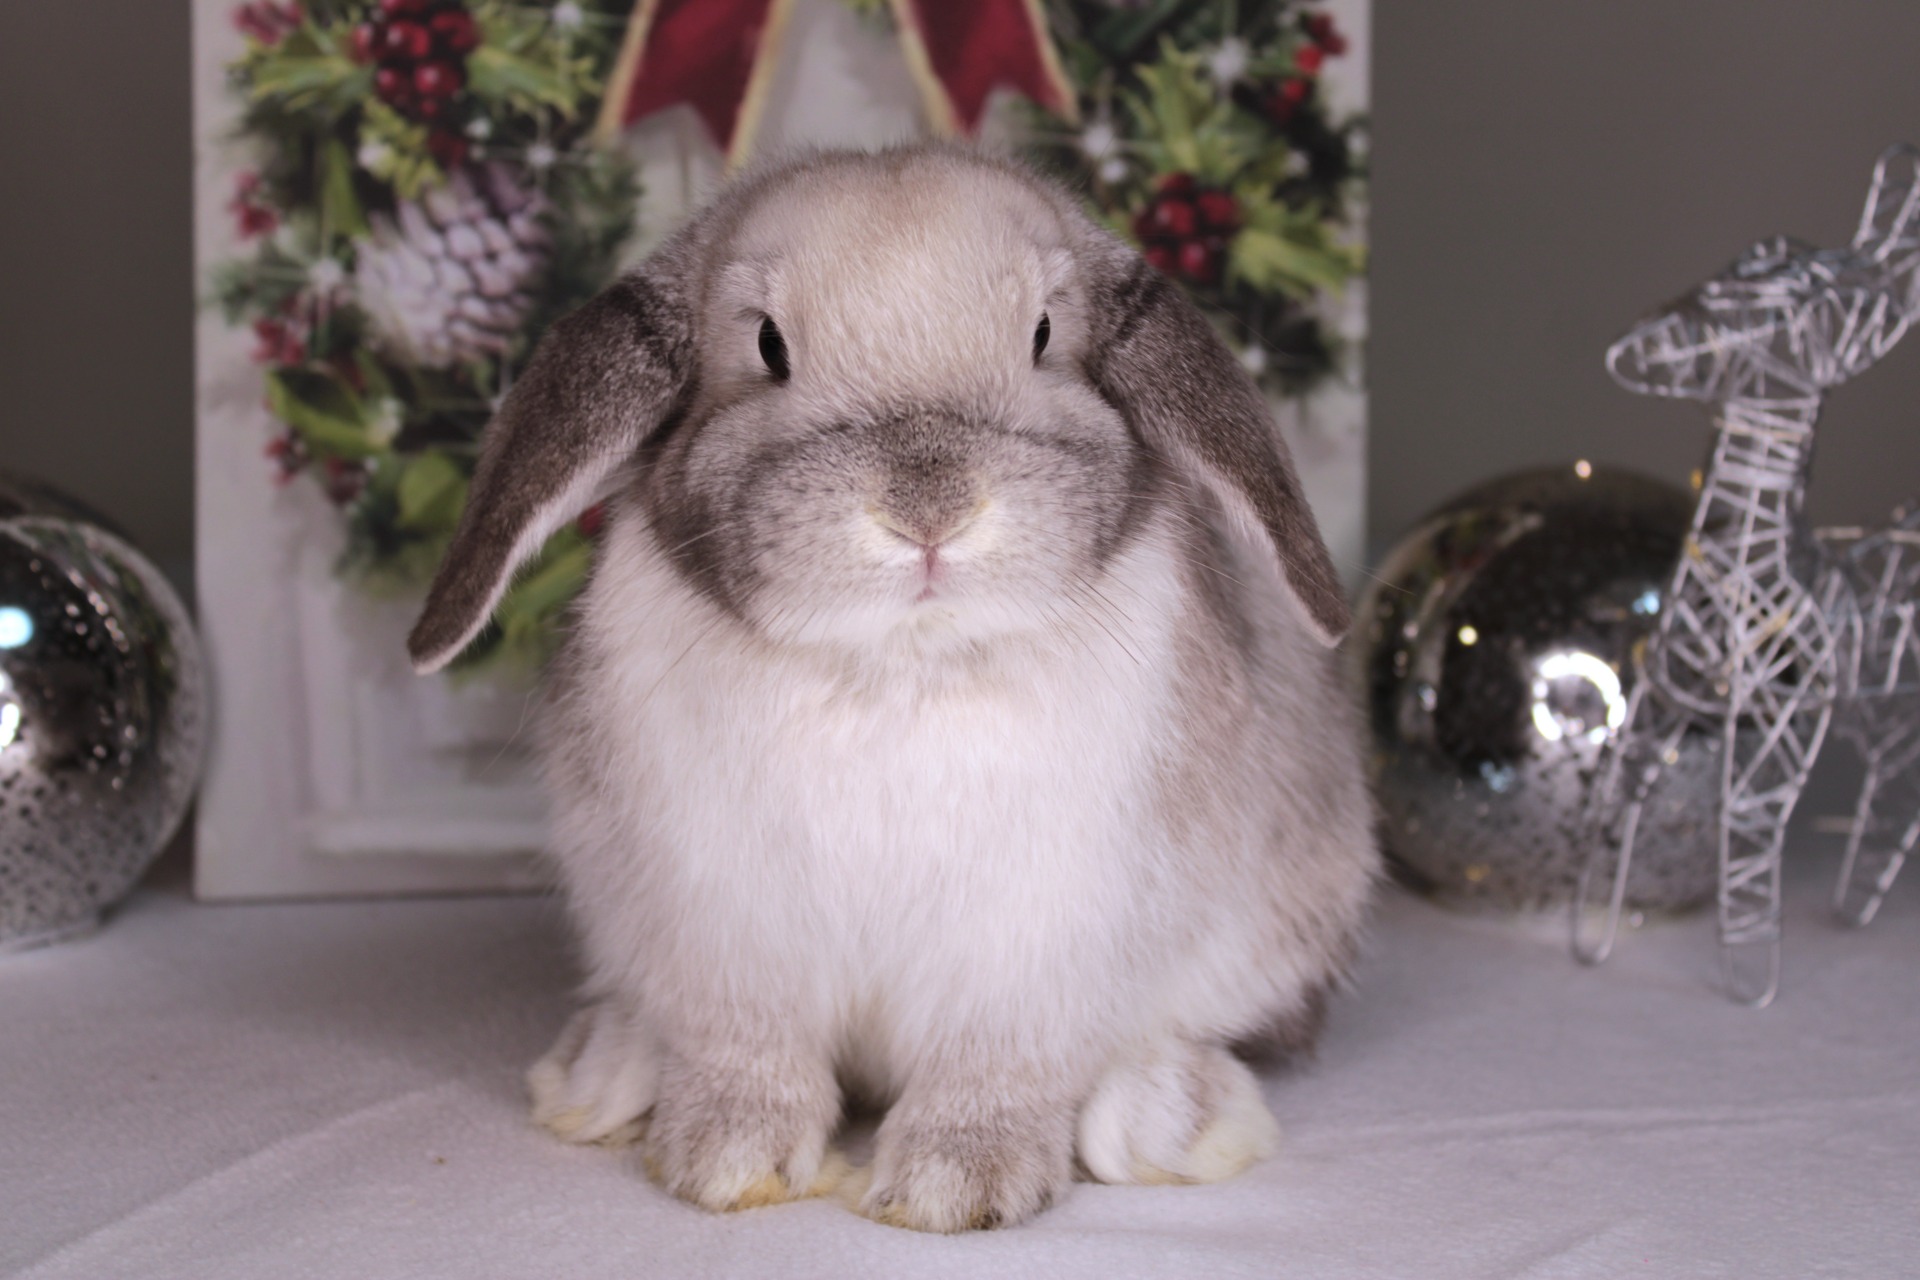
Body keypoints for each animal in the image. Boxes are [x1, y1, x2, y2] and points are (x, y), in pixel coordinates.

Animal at [407, 144, 1379, 1232]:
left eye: (1044, 333)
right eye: (767, 343)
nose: (930, 508)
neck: (900, 661)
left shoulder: (1032, 949)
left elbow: (993, 1066)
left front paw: (958, 1187)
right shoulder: (726, 932)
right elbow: (748, 1051)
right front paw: (722, 1160)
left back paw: (1178, 1117)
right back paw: (602, 1072)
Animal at [1572, 144, 1920, 1006]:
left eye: (1807, 306)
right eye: (1742, 262)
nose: (1640, 343)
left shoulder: (1786, 728)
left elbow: (1749, 846)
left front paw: (1750, 981)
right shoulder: (1656, 706)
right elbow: (1609, 818)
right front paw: (1590, 943)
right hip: (1888, 723)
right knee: (1895, 798)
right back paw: (1854, 908)